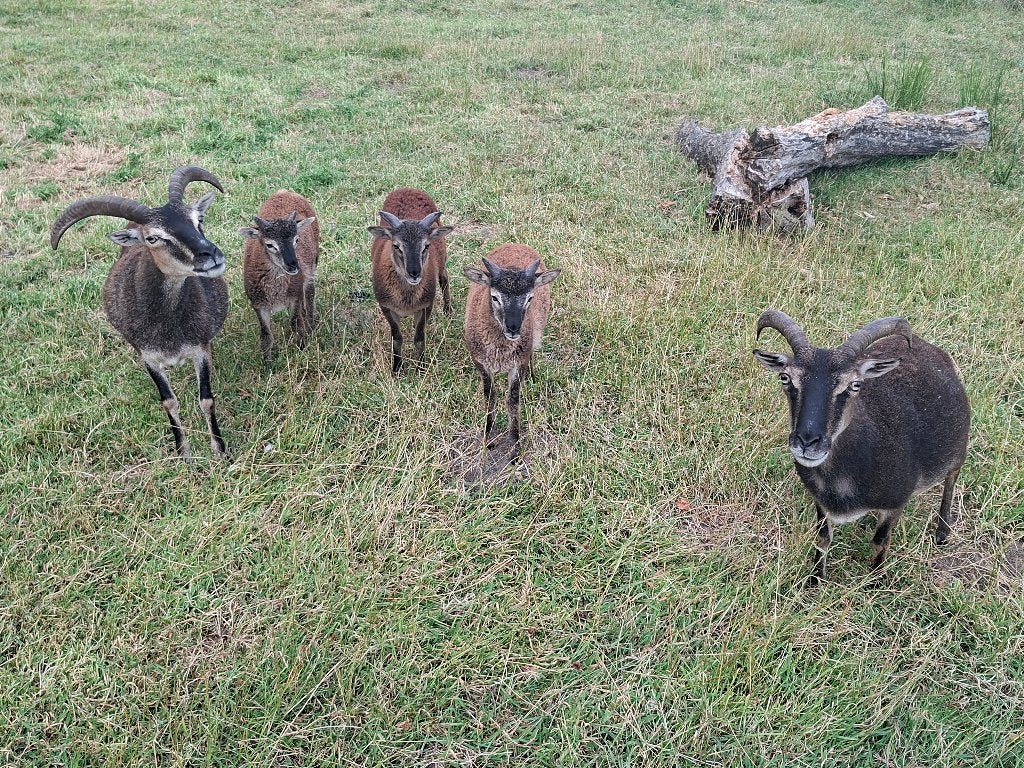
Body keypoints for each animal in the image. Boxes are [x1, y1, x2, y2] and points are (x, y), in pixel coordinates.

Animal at [50, 165, 229, 459]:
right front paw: (183, 453)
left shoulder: (200, 349)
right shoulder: (148, 357)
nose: (210, 254)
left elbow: (206, 399)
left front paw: (221, 451)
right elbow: (169, 402)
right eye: (153, 238)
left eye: (198, 220)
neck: (167, 323)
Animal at [240, 190, 319, 365]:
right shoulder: (258, 304)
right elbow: (266, 335)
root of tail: (284, 191)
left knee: (310, 293)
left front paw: (301, 348)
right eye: (269, 244)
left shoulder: (295, 297)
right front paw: (267, 364)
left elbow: (295, 324)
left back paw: (311, 325)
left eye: (297, 239)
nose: (293, 266)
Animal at [367, 188, 453, 374]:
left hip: (443, 259)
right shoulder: (386, 307)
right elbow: (397, 338)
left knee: (444, 278)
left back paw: (448, 310)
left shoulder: (426, 305)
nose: (414, 273)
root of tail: (408, 188)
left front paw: (421, 368)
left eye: (426, 245)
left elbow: (419, 338)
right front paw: (397, 368)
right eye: (396, 246)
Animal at [463, 245, 560, 454]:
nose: (513, 328)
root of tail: (517, 244)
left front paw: (515, 446)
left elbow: (513, 402)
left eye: (530, 297)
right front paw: (487, 437)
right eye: (494, 297)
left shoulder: (518, 365)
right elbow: (490, 399)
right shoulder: (481, 364)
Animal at [753, 309, 970, 585]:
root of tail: (925, 345)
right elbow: (822, 538)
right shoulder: (820, 501)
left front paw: (876, 581)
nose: (807, 442)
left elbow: (880, 541)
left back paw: (942, 533)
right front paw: (815, 580)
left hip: (957, 451)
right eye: (785, 377)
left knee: (952, 478)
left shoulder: (895, 503)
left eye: (855, 385)